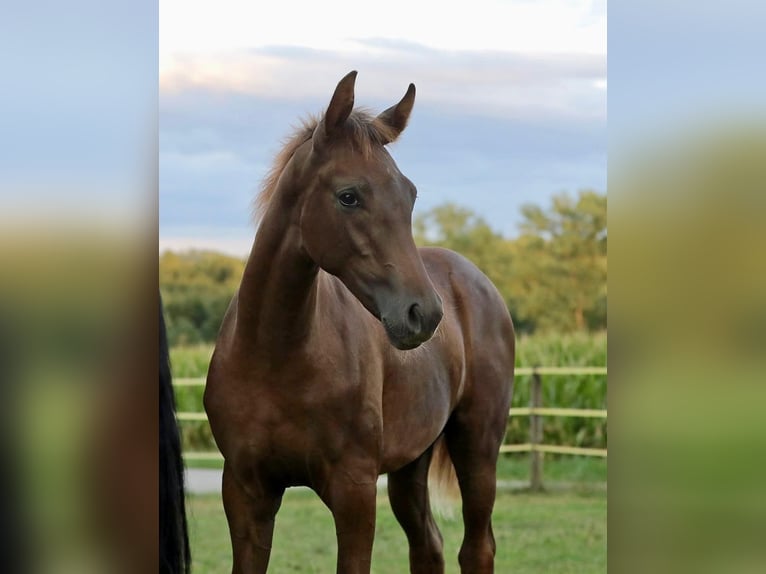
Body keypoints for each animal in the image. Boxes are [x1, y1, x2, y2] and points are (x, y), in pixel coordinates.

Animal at [204, 71, 515, 574]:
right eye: (349, 196)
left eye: (409, 194)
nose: (423, 314)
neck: (277, 356)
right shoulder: (246, 493)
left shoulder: (354, 491)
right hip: (411, 464)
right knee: (428, 545)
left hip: (478, 447)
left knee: (477, 547)